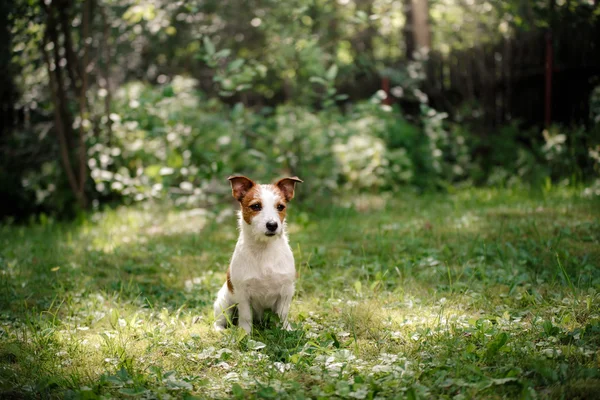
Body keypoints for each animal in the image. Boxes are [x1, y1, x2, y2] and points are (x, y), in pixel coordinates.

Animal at [213, 175, 302, 334]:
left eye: (280, 207)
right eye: (256, 206)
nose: (272, 225)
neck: (263, 249)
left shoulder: (286, 290)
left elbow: (283, 314)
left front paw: (286, 330)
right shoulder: (242, 294)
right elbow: (246, 316)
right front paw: (245, 333)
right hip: (224, 303)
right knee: (221, 319)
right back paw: (220, 329)